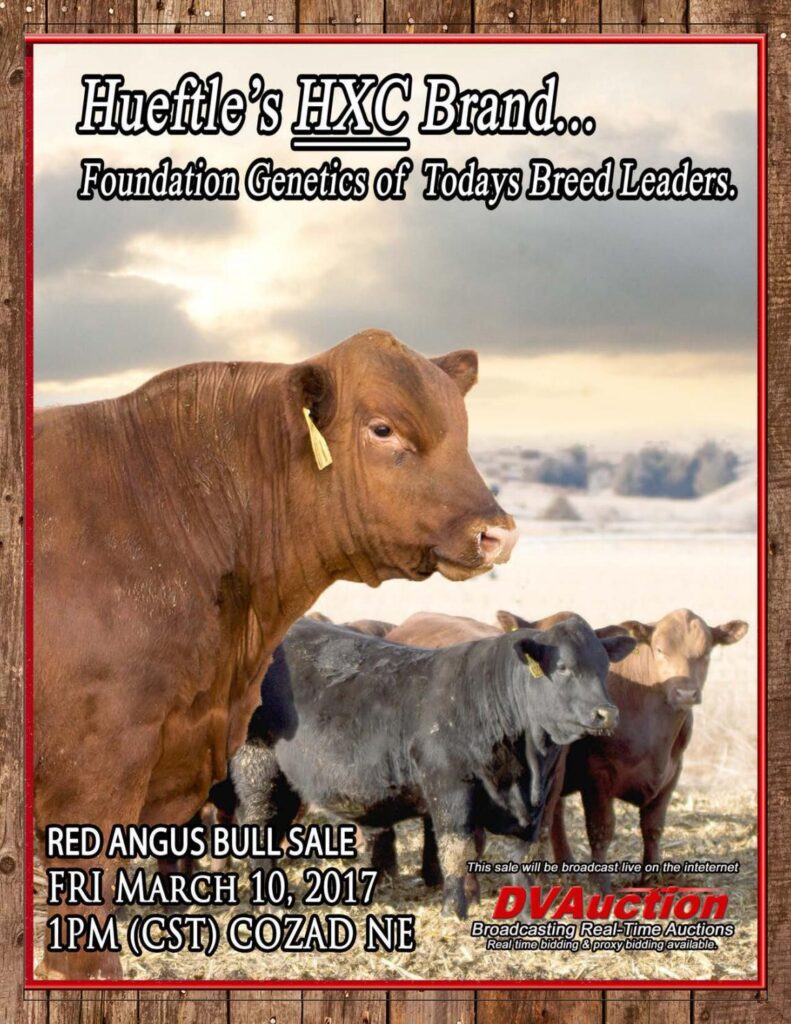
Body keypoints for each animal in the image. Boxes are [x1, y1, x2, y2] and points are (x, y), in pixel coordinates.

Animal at [229, 616, 634, 920]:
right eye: (563, 667)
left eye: (604, 667)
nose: (607, 713)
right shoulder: (449, 787)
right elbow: (456, 849)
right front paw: (454, 911)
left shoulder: (536, 805)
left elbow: (526, 858)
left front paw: (526, 915)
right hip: (258, 766)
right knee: (258, 826)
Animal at [542, 608, 748, 887]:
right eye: (660, 650)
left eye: (706, 652)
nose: (685, 693)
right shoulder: (597, 774)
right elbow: (601, 829)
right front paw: (600, 883)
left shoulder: (672, 771)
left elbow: (653, 826)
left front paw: (651, 878)